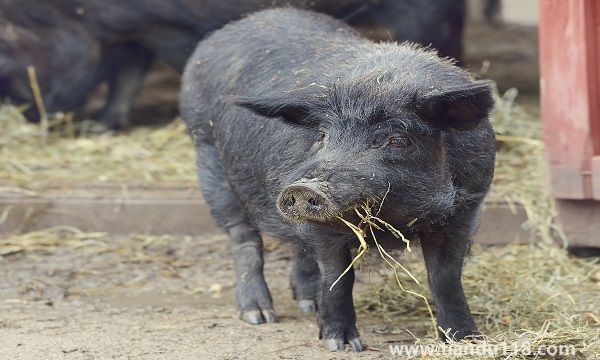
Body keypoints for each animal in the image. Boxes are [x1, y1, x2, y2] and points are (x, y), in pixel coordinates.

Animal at [179, 7, 496, 352]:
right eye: (323, 135)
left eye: (397, 140)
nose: (301, 187)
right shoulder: (325, 227)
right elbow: (338, 278)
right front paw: (341, 344)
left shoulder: (467, 207)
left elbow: (446, 278)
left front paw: (467, 340)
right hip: (209, 158)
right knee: (243, 238)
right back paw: (259, 316)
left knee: (298, 246)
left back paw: (308, 305)